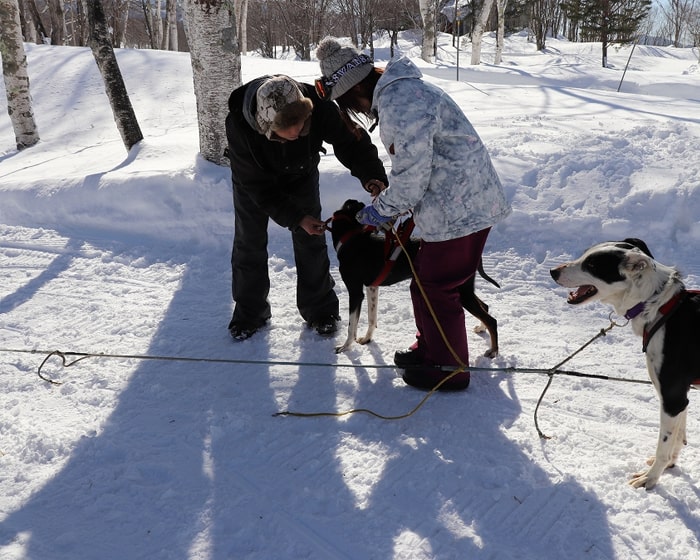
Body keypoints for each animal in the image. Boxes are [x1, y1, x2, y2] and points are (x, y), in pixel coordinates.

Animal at [328, 198, 498, 354]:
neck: (350, 240)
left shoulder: (355, 292)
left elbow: (351, 326)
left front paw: (345, 347)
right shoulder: (372, 287)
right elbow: (372, 318)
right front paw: (367, 339)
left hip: (461, 292)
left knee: (491, 320)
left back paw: (493, 351)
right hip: (465, 289)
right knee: (485, 307)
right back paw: (482, 329)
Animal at [552, 238, 700, 488]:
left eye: (592, 265)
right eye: (585, 255)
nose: (553, 271)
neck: (659, 306)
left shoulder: (672, 399)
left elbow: (663, 446)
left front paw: (650, 478)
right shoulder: (680, 399)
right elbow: (678, 437)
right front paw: (669, 465)